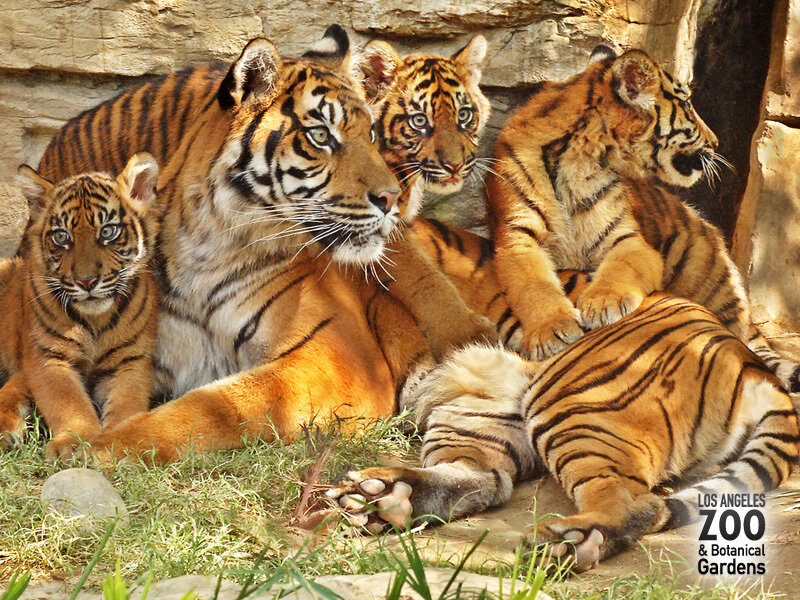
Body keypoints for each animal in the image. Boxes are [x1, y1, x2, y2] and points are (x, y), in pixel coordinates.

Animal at [0, 153, 160, 458]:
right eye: (62, 237)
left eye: (108, 231)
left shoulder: (130, 360)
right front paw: (75, 441)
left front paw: (120, 436)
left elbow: (127, 401)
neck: (95, 320)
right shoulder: (49, 357)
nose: (86, 281)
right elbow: (67, 402)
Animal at [327, 283, 800, 571]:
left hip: (568, 406)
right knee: (482, 477)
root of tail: (752, 366)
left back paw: (567, 540)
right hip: (487, 410)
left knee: (638, 501)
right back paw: (384, 497)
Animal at [484, 44, 800, 393]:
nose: (716, 142)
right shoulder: (518, 237)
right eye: (686, 105)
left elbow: (621, 267)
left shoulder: (627, 239)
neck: (583, 155)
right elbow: (533, 285)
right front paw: (551, 331)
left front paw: (603, 303)